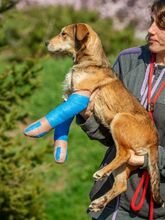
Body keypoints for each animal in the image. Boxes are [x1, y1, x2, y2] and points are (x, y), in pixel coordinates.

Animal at [46, 23, 164, 211]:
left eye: (63, 34)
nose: (45, 43)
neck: (90, 60)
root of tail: (154, 141)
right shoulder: (71, 93)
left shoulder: (79, 92)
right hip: (125, 163)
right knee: (121, 184)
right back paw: (99, 202)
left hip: (119, 120)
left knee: (125, 153)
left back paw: (101, 173)